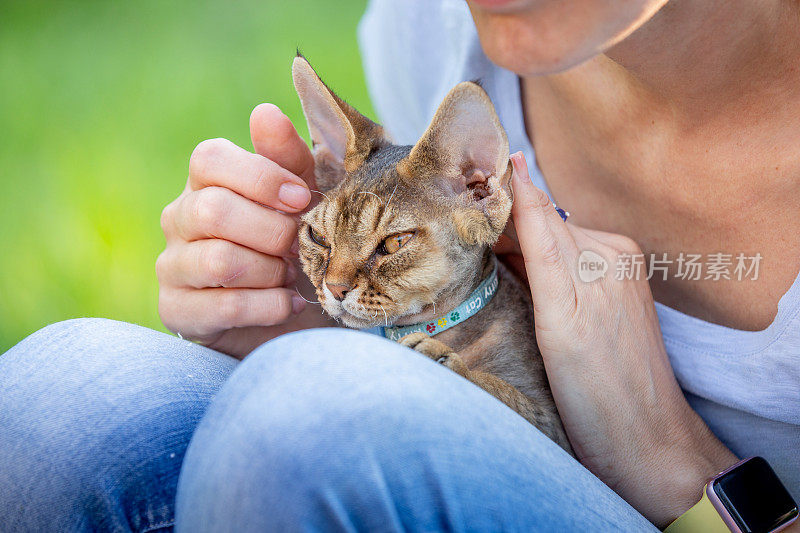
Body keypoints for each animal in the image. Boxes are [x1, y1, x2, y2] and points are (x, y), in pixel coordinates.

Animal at [290, 55, 572, 454]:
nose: (334, 288)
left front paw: (449, 364)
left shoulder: (558, 428)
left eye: (395, 243)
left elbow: (509, 397)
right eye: (317, 237)